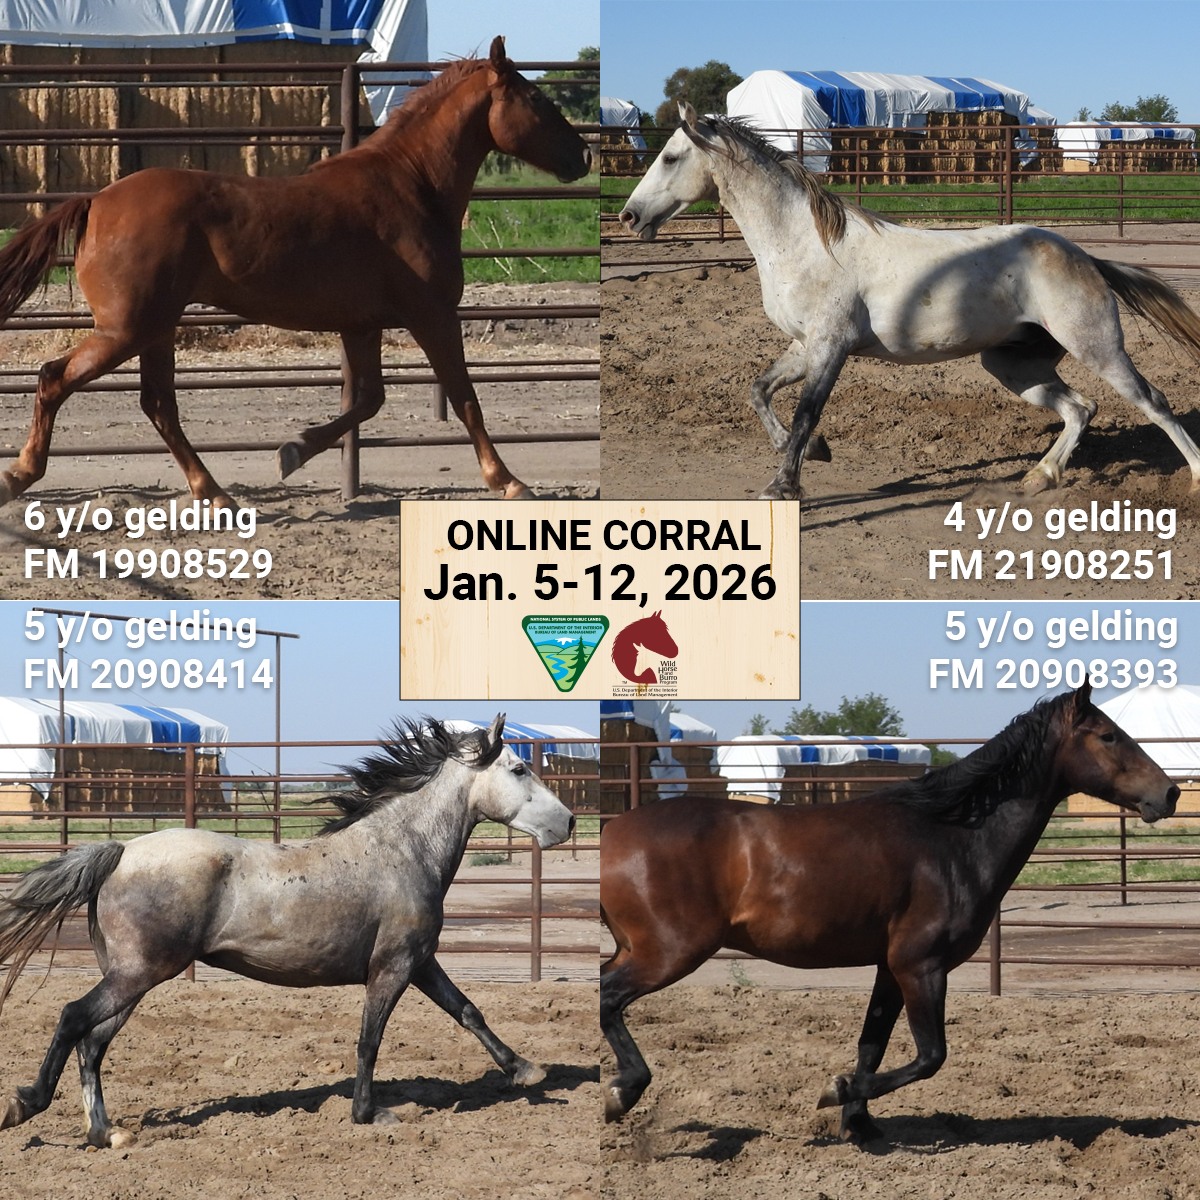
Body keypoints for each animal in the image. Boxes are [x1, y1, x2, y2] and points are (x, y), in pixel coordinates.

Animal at [0, 37, 590, 507]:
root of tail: (97, 201)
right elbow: (465, 398)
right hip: (127, 329)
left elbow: (368, 400)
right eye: (537, 100)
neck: (410, 185)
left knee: (158, 405)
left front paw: (293, 451)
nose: (583, 156)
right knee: (56, 379)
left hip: (155, 329)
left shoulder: (361, 325)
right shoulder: (433, 315)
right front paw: (509, 482)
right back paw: (20, 475)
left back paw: (215, 493)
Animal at [0, 715, 575, 1147]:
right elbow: (370, 1038)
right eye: (520, 767)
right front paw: (369, 1114)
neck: (402, 849)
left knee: (93, 1044)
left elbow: (467, 1010)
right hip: (137, 974)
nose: (567, 823)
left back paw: (105, 1134)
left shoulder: (420, 961)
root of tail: (119, 852)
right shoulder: (392, 967)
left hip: (130, 978)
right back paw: (26, 1104)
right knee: (74, 1019)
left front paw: (526, 1070)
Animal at [600, 682, 1178, 1143]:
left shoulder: (888, 967)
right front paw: (835, 1092)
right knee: (609, 997)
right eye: (1108, 735)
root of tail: (615, 831)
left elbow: (872, 1046)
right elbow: (930, 1056)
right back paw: (621, 1093)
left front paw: (858, 1124)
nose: (1169, 793)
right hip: (670, 952)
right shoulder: (920, 966)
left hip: (643, 949)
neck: (952, 838)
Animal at [620, 103, 1200, 500]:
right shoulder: (805, 345)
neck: (805, 242)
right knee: (1081, 408)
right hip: (1014, 364)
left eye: (670, 157)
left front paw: (783, 485)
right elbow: (758, 391)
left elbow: (806, 411)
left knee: (1153, 402)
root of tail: (1081, 255)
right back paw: (1038, 476)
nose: (628, 216)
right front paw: (812, 451)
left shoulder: (831, 346)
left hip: (1096, 345)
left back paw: (1192, 478)